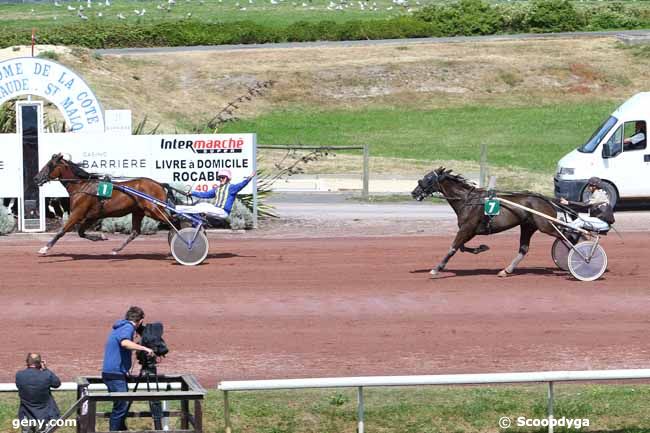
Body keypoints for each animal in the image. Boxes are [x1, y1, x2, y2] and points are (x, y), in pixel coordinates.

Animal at [33, 154, 177, 255]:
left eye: (49, 165)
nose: (36, 178)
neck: (82, 186)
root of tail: (159, 184)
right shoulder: (92, 216)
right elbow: (80, 233)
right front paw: (100, 237)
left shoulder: (78, 213)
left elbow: (61, 231)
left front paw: (44, 248)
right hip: (139, 212)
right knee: (135, 232)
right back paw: (116, 249)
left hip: (153, 210)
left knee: (173, 222)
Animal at [412, 167, 560, 278]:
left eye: (428, 178)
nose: (414, 192)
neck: (467, 200)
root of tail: (546, 200)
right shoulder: (468, 230)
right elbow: (462, 247)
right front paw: (481, 248)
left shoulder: (467, 228)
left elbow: (453, 248)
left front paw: (437, 269)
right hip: (528, 226)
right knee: (524, 249)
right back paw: (506, 270)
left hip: (546, 226)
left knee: (564, 236)